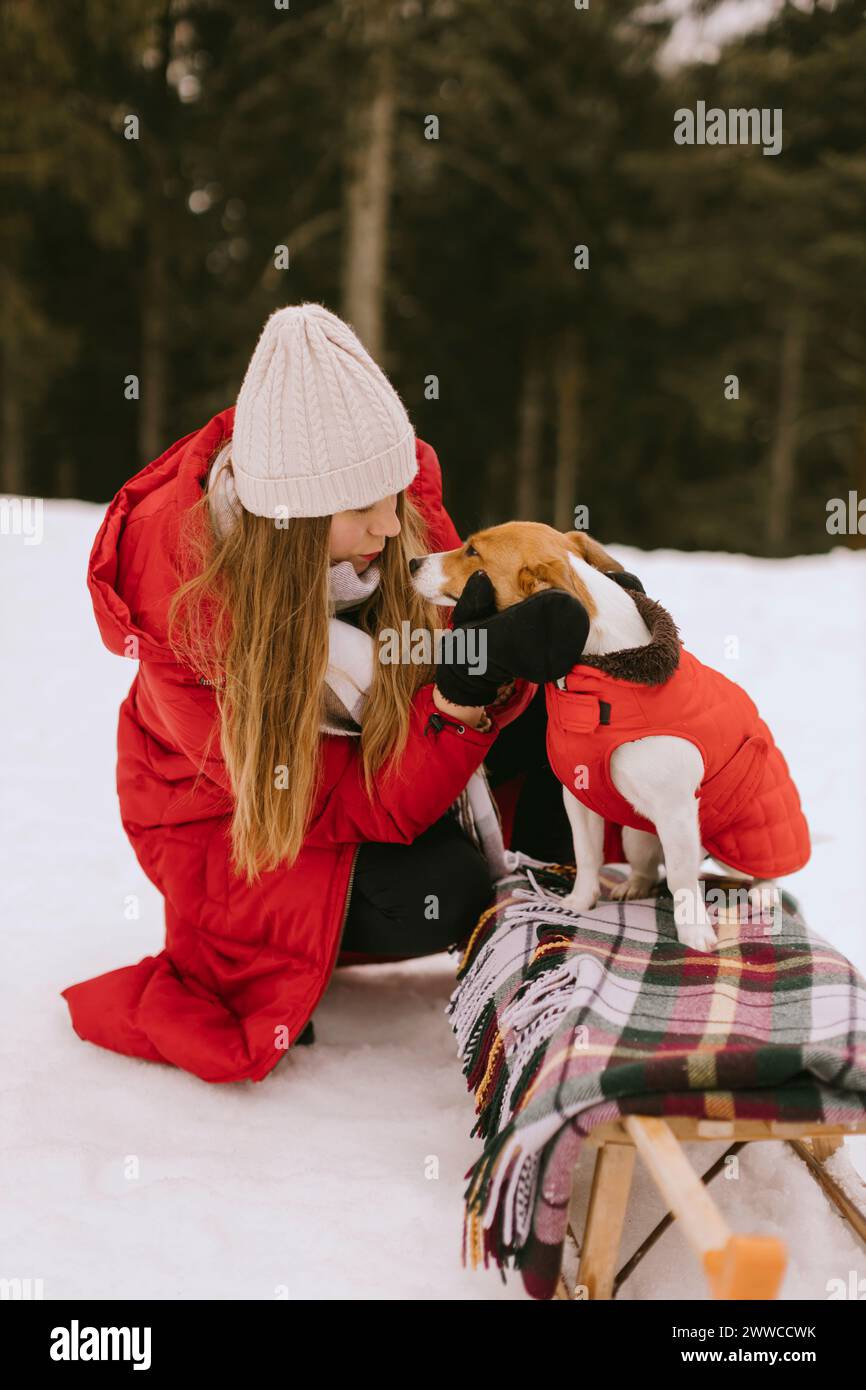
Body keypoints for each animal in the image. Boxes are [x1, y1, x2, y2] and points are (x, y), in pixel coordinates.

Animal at [408, 522, 811, 956]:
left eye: (472, 552)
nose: (413, 562)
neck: (602, 675)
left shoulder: (677, 811)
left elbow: (682, 880)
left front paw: (693, 933)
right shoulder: (579, 797)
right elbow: (587, 856)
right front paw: (579, 902)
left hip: (742, 839)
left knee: (765, 870)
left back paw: (764, 891)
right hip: (637, 835)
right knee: (648, 869)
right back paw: (634, 885)